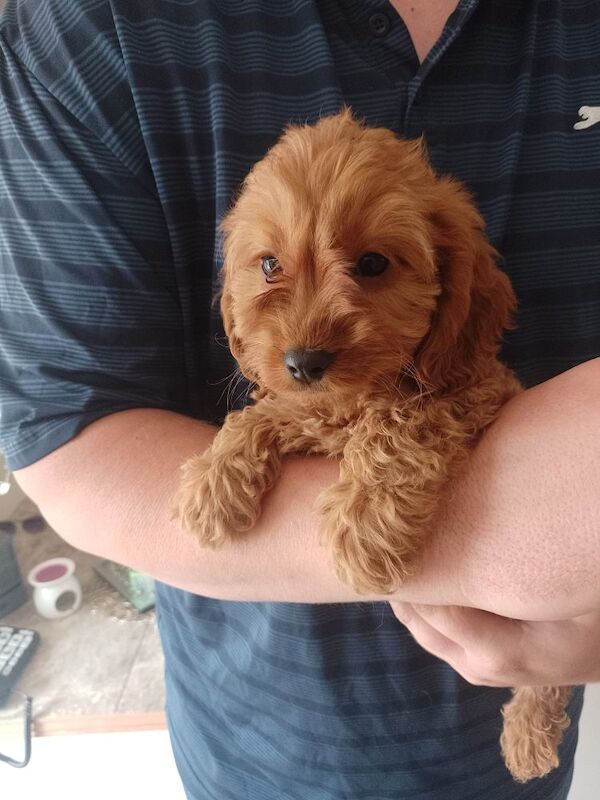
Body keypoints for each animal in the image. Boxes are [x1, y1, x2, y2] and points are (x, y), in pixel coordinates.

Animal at [177, 108, 572, 780]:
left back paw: (529, 735)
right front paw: (213, 481)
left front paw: (365, 527)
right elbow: (270, 411)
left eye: (374, 264)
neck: (354, 397)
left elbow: (402, 420)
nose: (304, 361)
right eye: (268, 265)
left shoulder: (476, 389)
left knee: (551, 675)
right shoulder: (311, 409)